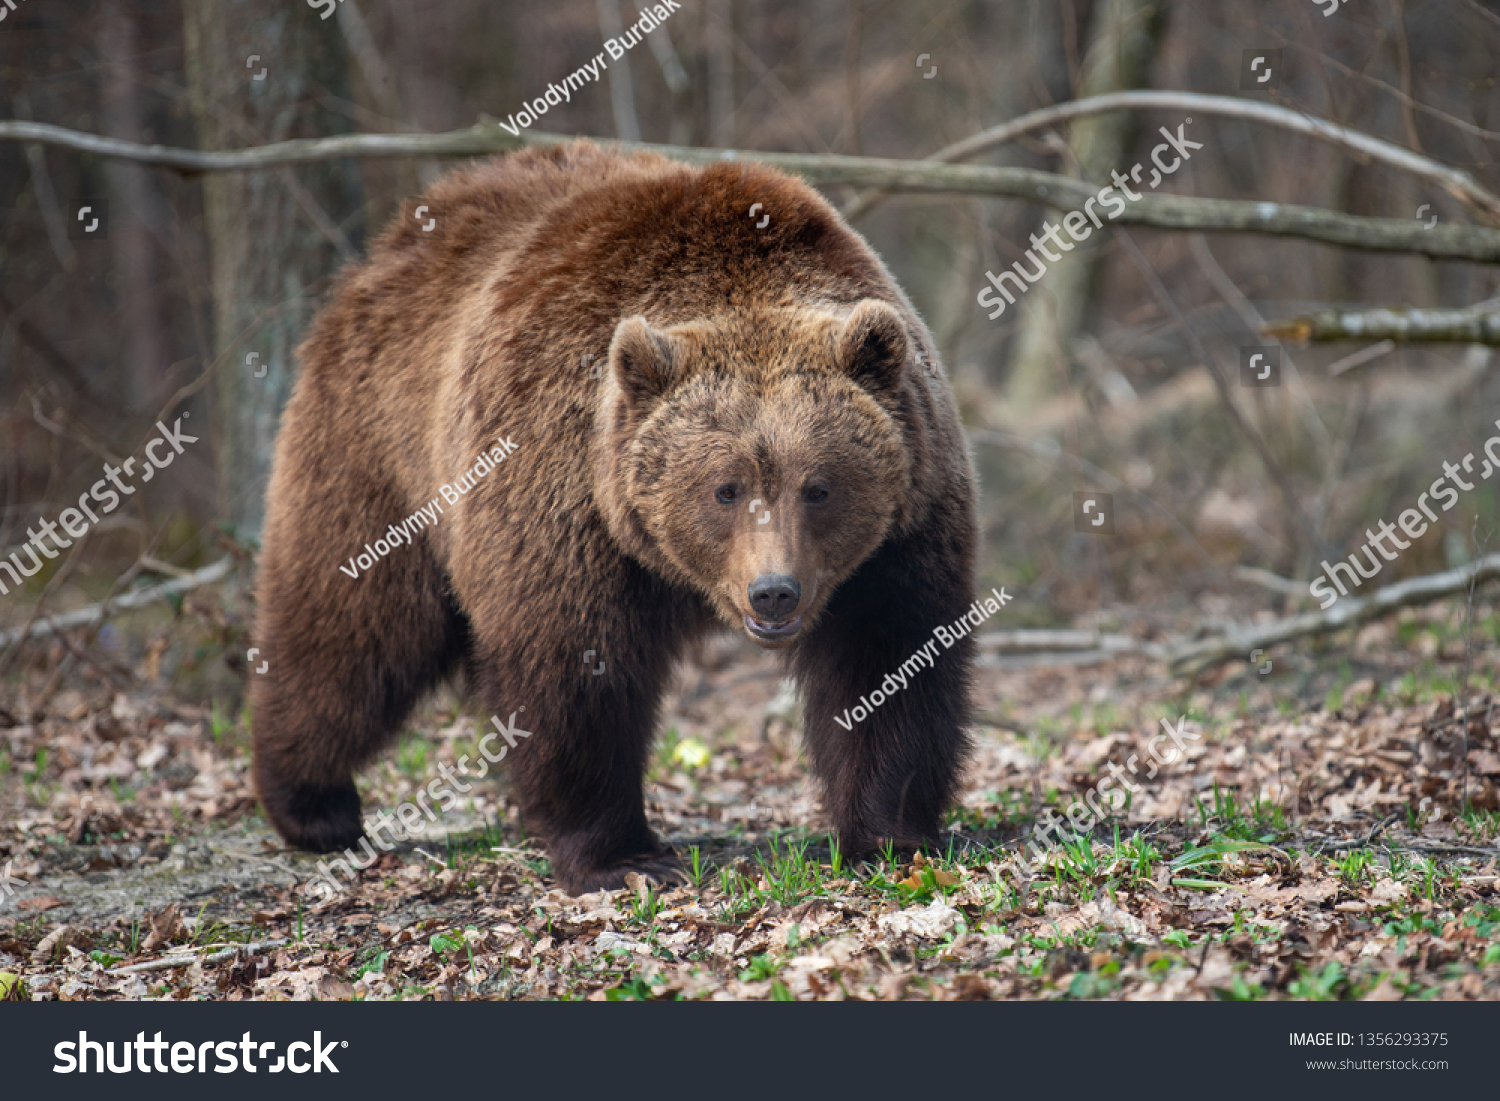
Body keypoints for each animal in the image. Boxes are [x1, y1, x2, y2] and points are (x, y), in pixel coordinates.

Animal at [255, 140, 984, 900]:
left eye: (818, 487)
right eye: (725, 489)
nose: (773, 592)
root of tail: (386, 247)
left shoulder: (902, 525)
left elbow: (889, 659)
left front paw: (889, 832)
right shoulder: (565, 492)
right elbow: (577, 670)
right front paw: (622, 854)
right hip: (381, 454)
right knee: (353, 629)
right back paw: (314, 804)